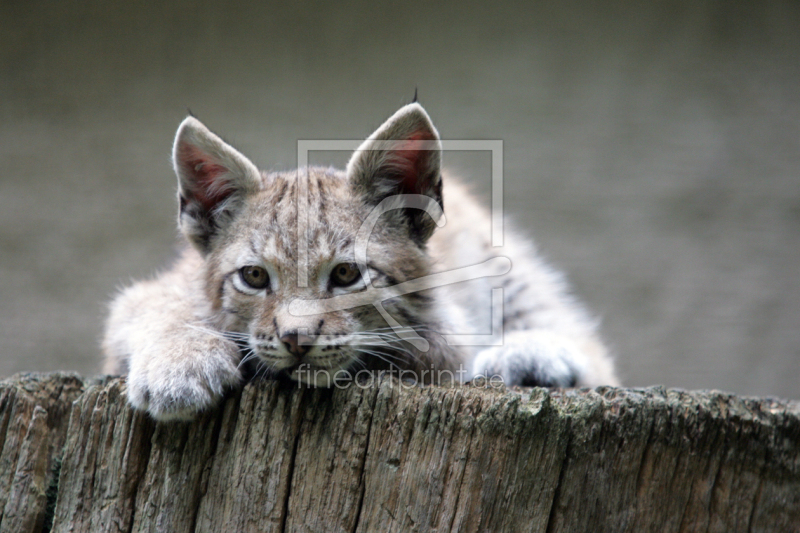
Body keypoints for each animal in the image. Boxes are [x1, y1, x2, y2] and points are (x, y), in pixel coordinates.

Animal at [103, 103, 620, 420]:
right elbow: (166, 308)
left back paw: (528, 353)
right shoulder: (146, 293)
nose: (295, 339)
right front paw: (179, 365)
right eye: (253, 276)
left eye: (347, 274)